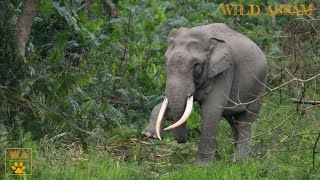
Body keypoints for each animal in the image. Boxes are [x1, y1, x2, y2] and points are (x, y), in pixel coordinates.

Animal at [141, 23, 268, 165]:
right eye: (165, 61)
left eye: (196, 64)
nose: (183, 141)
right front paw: (149, 134)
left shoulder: (224, 71)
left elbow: (211, 111)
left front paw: (202, 166)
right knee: (234, 120)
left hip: (259, 87)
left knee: (246, 120)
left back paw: (240, 161)